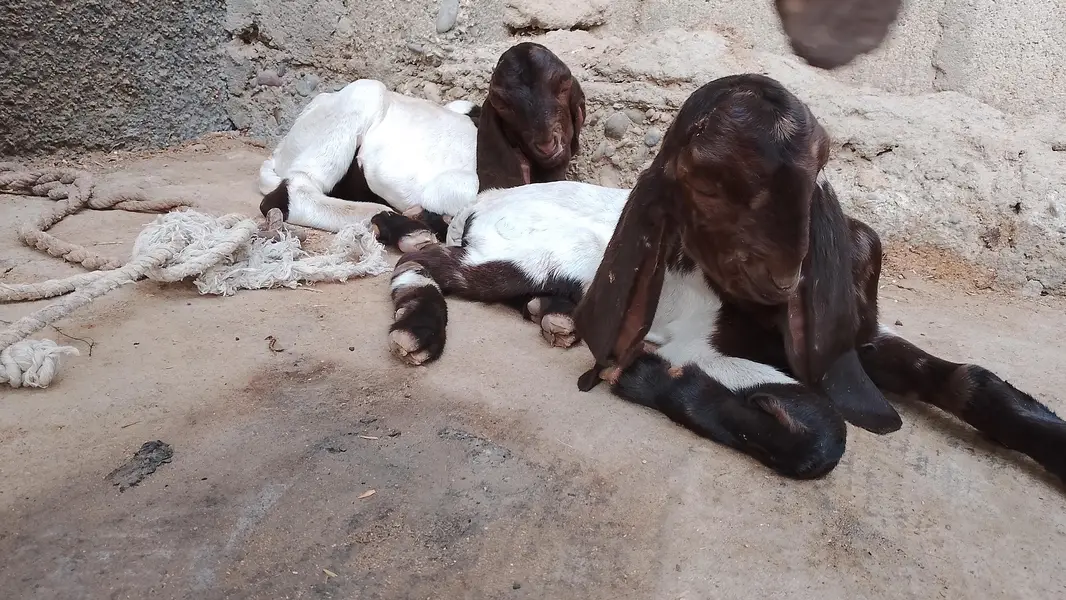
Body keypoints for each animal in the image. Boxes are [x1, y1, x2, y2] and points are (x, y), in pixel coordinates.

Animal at [259, 42, 585, 254]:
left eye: (563, 85)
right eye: (503, 103)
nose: (548, 144)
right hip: (359, 98)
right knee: (294, 192)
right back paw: (407, 228)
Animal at [383, 74, 1066, 483]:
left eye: (813, 171)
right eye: (705, 186)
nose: (780, 275)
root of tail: (490, 199)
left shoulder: (858, 341)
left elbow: (972, 381)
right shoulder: (708, 346)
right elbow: (822, 431)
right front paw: (644, 375)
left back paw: (549, 316)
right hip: (510, 258)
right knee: (423, 263)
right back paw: (417, 321)